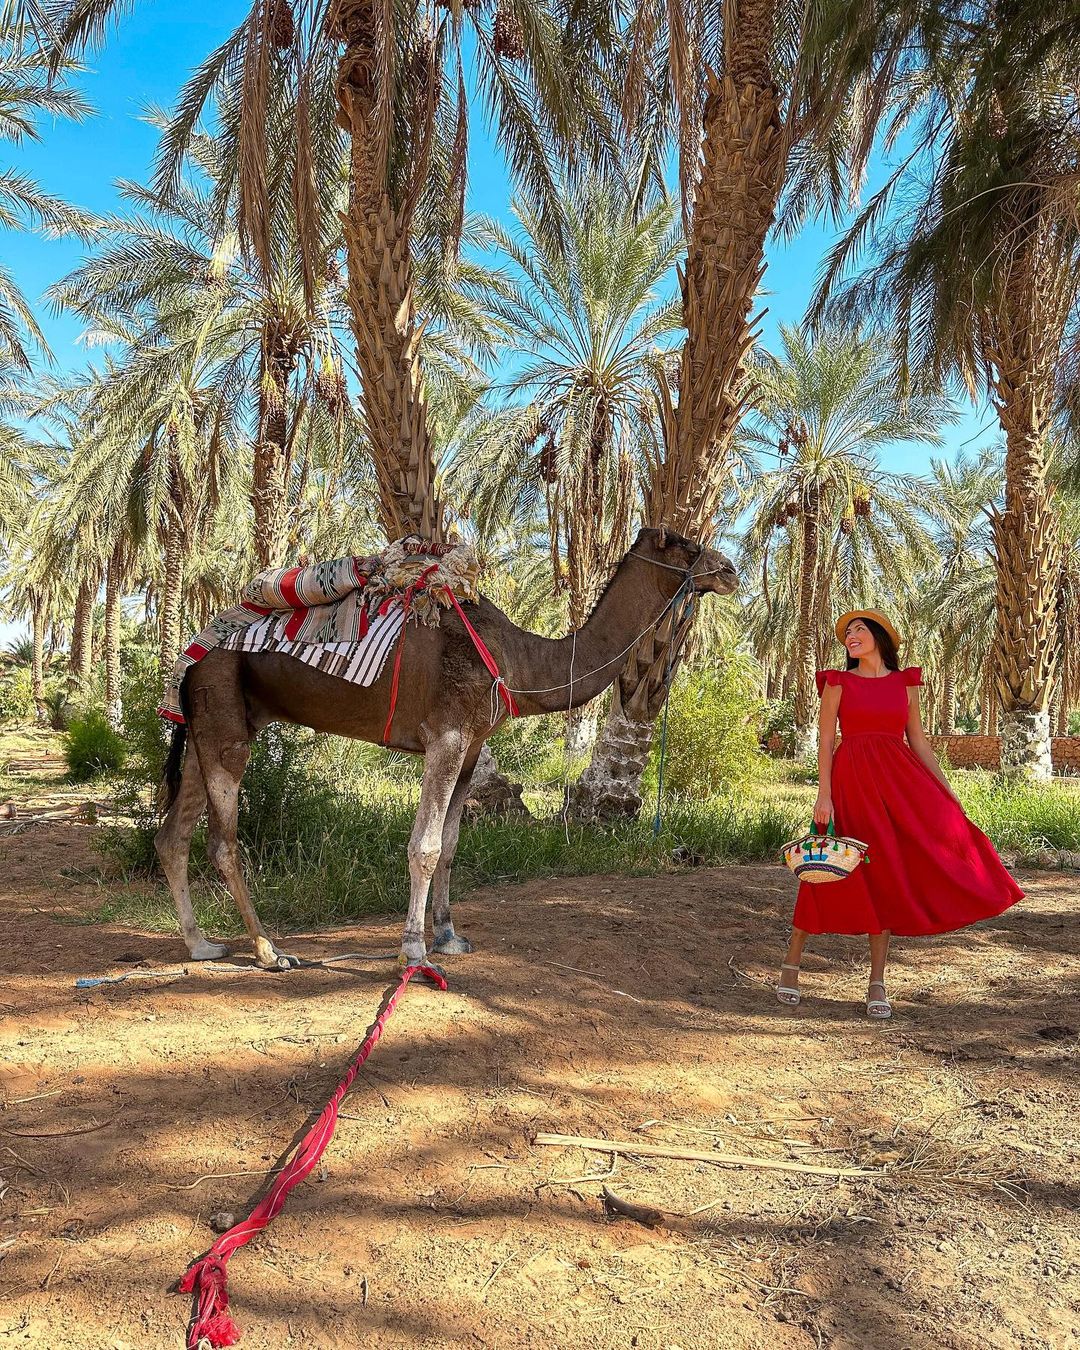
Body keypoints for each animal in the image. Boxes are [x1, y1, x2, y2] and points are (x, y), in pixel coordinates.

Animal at [155, 529, 739, 972]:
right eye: (686, 545)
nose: (731, 570)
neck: (519, 660)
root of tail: (191, 655)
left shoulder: (474, 744)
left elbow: (453, 845)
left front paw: (448, 936)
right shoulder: (448, 736)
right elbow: (426, 846)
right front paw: (413, 951)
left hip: (206, 731)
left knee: (172, 835)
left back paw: (202, 945)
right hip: (225, 724)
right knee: (221, 843)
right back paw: (268, 950)